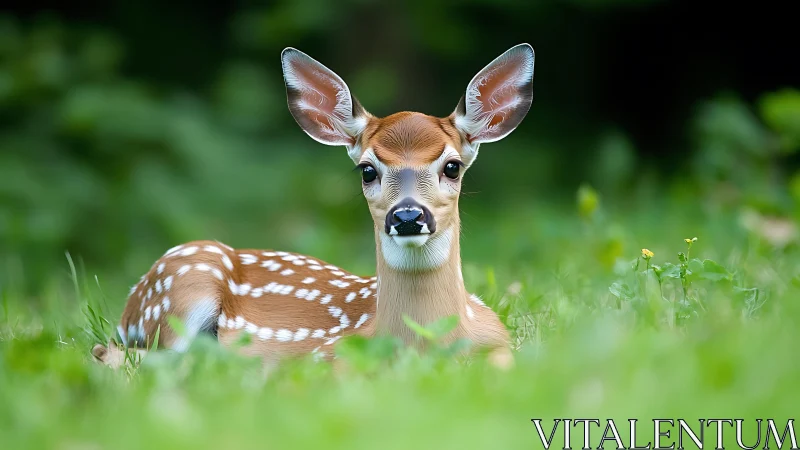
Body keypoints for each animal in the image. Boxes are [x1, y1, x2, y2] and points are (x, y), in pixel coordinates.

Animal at [91, 43, 535, 370]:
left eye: (452, 166)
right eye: (367, 170)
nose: (408, 216)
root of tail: (131, 301)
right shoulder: (327, 358)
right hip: (182, 285)